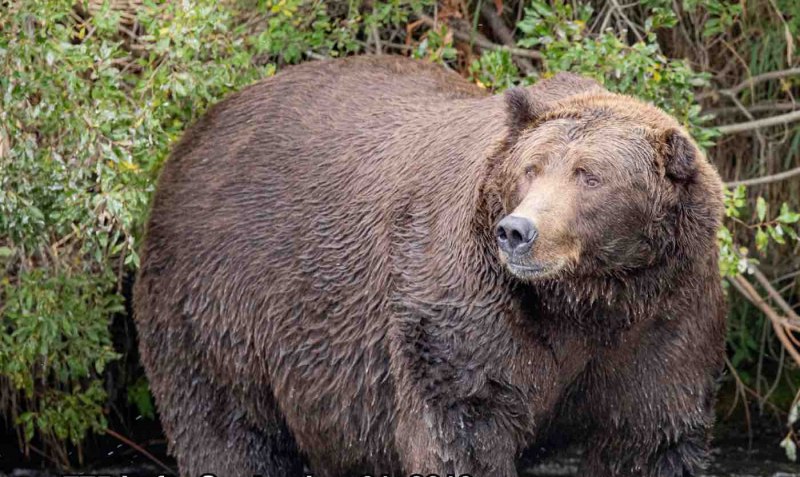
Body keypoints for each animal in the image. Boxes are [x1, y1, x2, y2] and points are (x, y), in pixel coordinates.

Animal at [133, 55, 726, 477]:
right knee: (225, 429)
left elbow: (651, 434)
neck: (590, 298)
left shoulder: (665, 318)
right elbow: (463, 423)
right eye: (531, 168)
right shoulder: (469, 302)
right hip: (219, 304)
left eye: (590, 175)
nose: (517, 232)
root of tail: (193, 134)